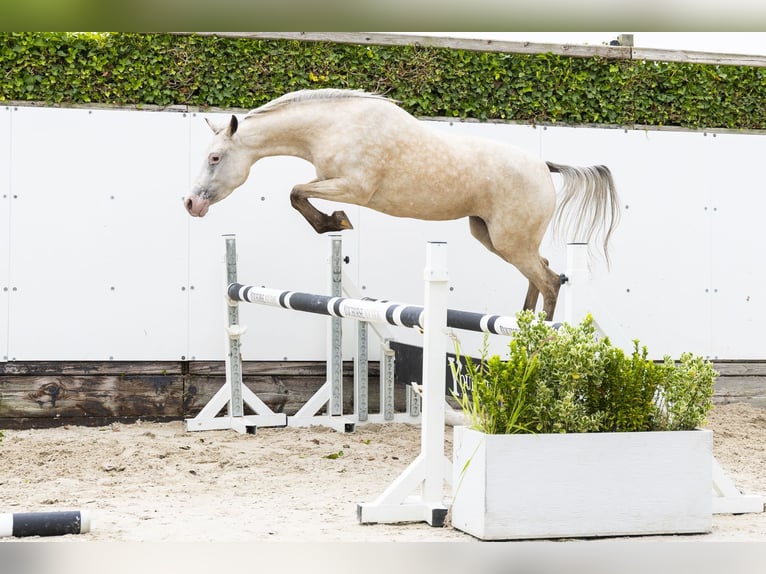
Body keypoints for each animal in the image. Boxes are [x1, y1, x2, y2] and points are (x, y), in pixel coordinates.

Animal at [185, 88, 619, 319]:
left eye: (215, 157)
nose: (190, 203)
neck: (333, 126)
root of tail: (544, 166)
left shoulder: (352, 188)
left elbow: (295, 192)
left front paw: (336, 222)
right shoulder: (331, 181)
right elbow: (297, 193)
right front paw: (334, 222)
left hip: (511, 241)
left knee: (550, 280)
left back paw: (536, 340)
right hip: (493, 237)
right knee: (541, 273)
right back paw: (521, 324)